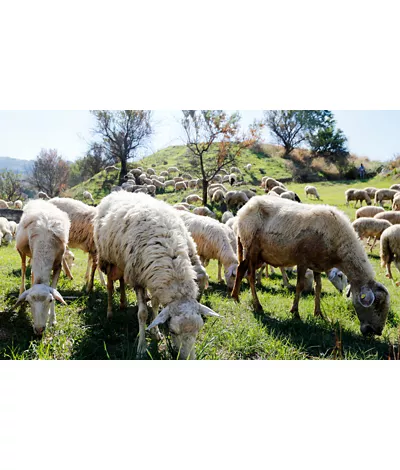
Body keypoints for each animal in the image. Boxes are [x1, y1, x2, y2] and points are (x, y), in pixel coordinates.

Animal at [13, 200, 70, 336]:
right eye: (28, 302)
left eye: (49, 300)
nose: (39, 330)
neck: (45, 241)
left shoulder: (58, 265)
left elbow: (54, 289)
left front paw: (52, 319)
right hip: (22, 251)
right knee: (24, 268)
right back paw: (21, 290)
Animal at [94, 191, 219, 360]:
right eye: (172, 331)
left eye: (198, 330)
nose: (188, 358)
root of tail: (116, 192)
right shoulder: (138, 279)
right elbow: (142, 313)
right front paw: (141, 347)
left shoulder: (155, 279)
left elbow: (154, 305)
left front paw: (155, 332)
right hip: (107, 260)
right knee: (109, 286)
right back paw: (110, 312)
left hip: (123, 263)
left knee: (121, 282)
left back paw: (123, 303)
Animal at [231, 196, 390, 338]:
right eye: (376, 306)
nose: (377, 332)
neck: (339, 245)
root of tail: (243, 210)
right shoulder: (303, 261)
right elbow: (300, 286)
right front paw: (295, 312)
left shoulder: (317, 265)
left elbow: (318, 287)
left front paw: (318, 313)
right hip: (251, 248)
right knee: (250, 275)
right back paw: (257, 306)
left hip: (256, 254)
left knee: (240, 268)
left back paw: (235, 297)